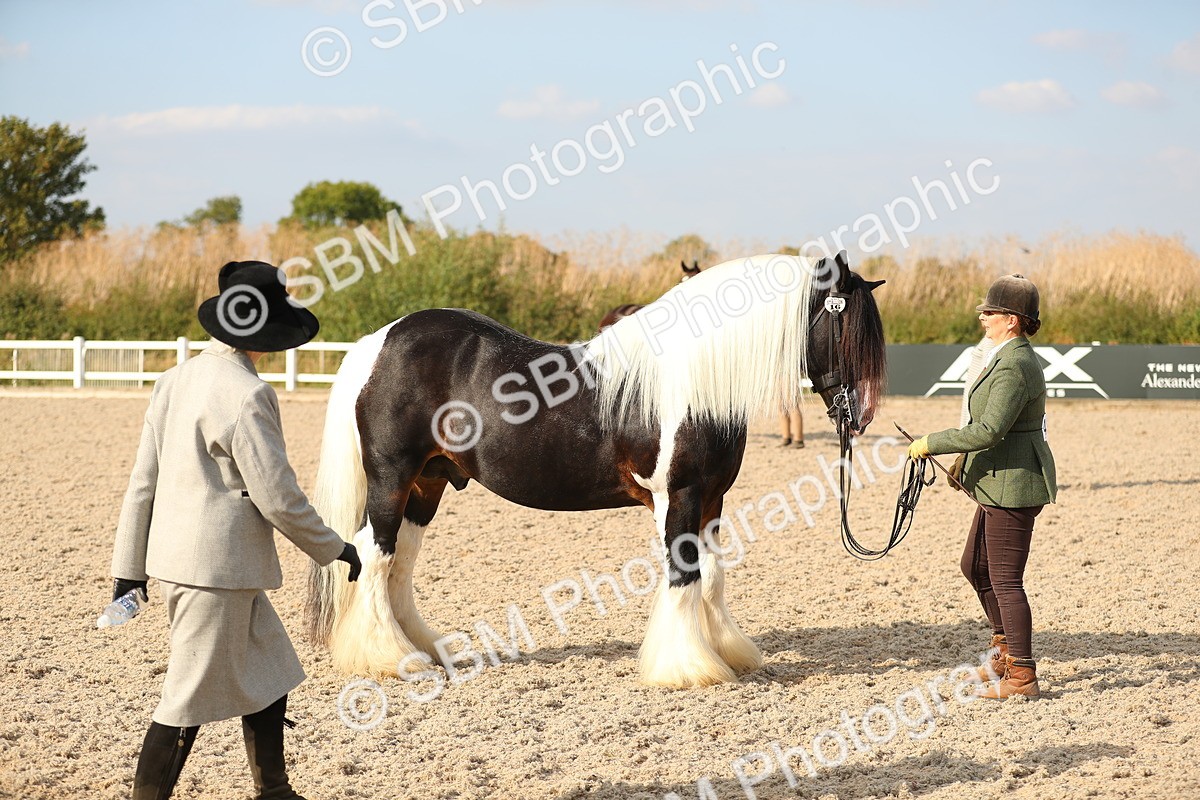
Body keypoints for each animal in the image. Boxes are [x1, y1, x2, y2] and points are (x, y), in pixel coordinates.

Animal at [306, 251, 886, 688]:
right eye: (847, 330)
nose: (861, 415)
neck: (692, 379)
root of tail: (378, 343)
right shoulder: (680, 496)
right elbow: (685, 574)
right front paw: (687, 668)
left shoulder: (713, 500)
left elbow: (714, 575)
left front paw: (728, 652)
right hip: (391, 477)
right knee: (376, 554)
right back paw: (387, 659)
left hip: (427, 484)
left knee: (400, 561)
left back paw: (422, 649)